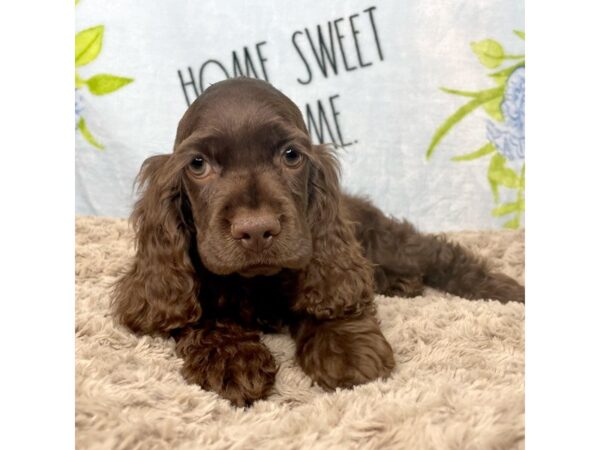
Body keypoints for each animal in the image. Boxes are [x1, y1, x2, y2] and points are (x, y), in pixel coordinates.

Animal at [113, 77, 524, 408]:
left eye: (291, 155)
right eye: (197, 164)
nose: (256, 229)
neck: (256, 282)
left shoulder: (331, 259)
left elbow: (333, 295)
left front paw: (346, 348)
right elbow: (197, 313)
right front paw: (231, 358)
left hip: (385, 242)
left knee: (440, 253)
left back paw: (504, 289)